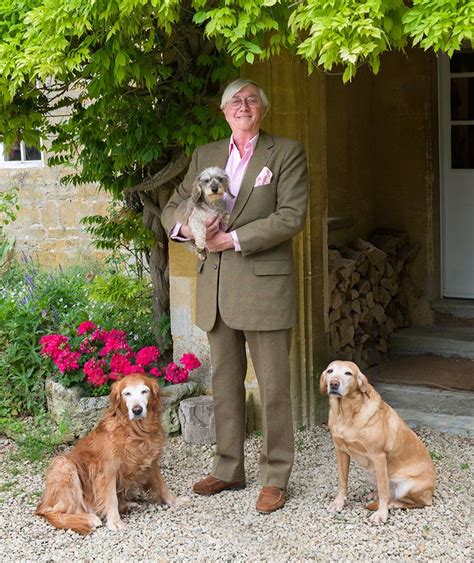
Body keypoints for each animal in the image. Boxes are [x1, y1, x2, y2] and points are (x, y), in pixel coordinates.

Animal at [36, 374, 188, 532]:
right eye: (127, 393)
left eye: (144, 391)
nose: (137, 410)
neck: (135, 432)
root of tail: (42, 504)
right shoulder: (107, 472)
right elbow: (111, 498)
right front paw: (115, 521)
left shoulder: (151, 464)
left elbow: (162, 485)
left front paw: (175, 500)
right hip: (64, 465)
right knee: (58, 512)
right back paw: (89, 518)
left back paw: (129, 505)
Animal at [320, 362, 436, 524]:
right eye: (330, 371)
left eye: (348, 373)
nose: (334, 383)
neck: (346, 414)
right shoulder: (340, 450)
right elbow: (343, 481)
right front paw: (338, 503)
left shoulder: (378, 456)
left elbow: (383, 490)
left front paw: (381, 513)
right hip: (369, 471)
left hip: (408, 486)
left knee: (419, 502)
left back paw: (392, 504)